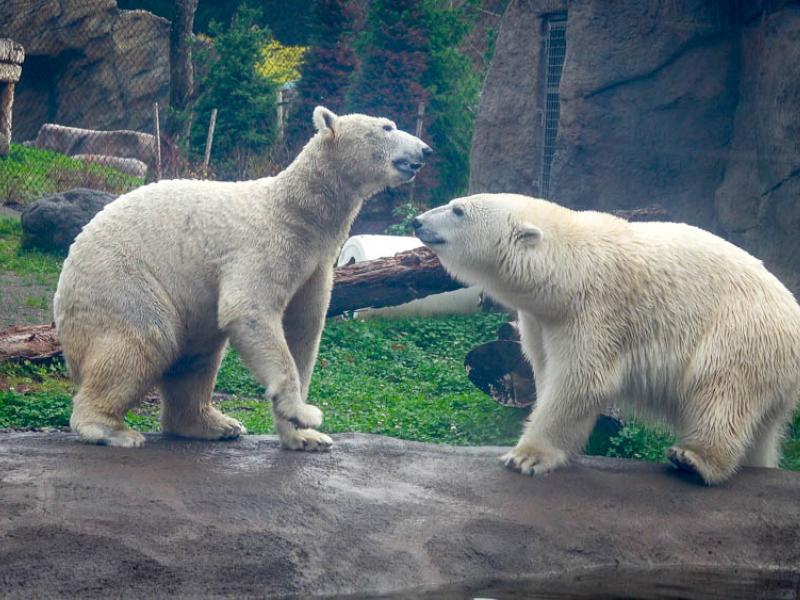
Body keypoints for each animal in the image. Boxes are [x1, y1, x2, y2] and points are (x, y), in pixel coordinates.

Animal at [54, 106, 432, 450]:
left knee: (198, 356)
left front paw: (305, 435)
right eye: (387, 127)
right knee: (143, 339)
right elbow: (250, 310)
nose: (426, 150)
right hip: (121, 279)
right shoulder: (264, 244)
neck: (298, 212)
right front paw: (306, 414)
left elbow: (304, 329)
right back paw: (111, 430)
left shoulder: (315, 263)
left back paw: (213, 423)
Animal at [412, 195, 800, 486]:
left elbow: (583, 381)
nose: (416, 221)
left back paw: (693, 459)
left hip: (741, 332)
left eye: (458, 210)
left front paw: (525, 457)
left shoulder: (596, 310)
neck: (569, 268)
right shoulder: (541, 321)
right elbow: (545, 368)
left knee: (722, 392)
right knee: (760, 427)